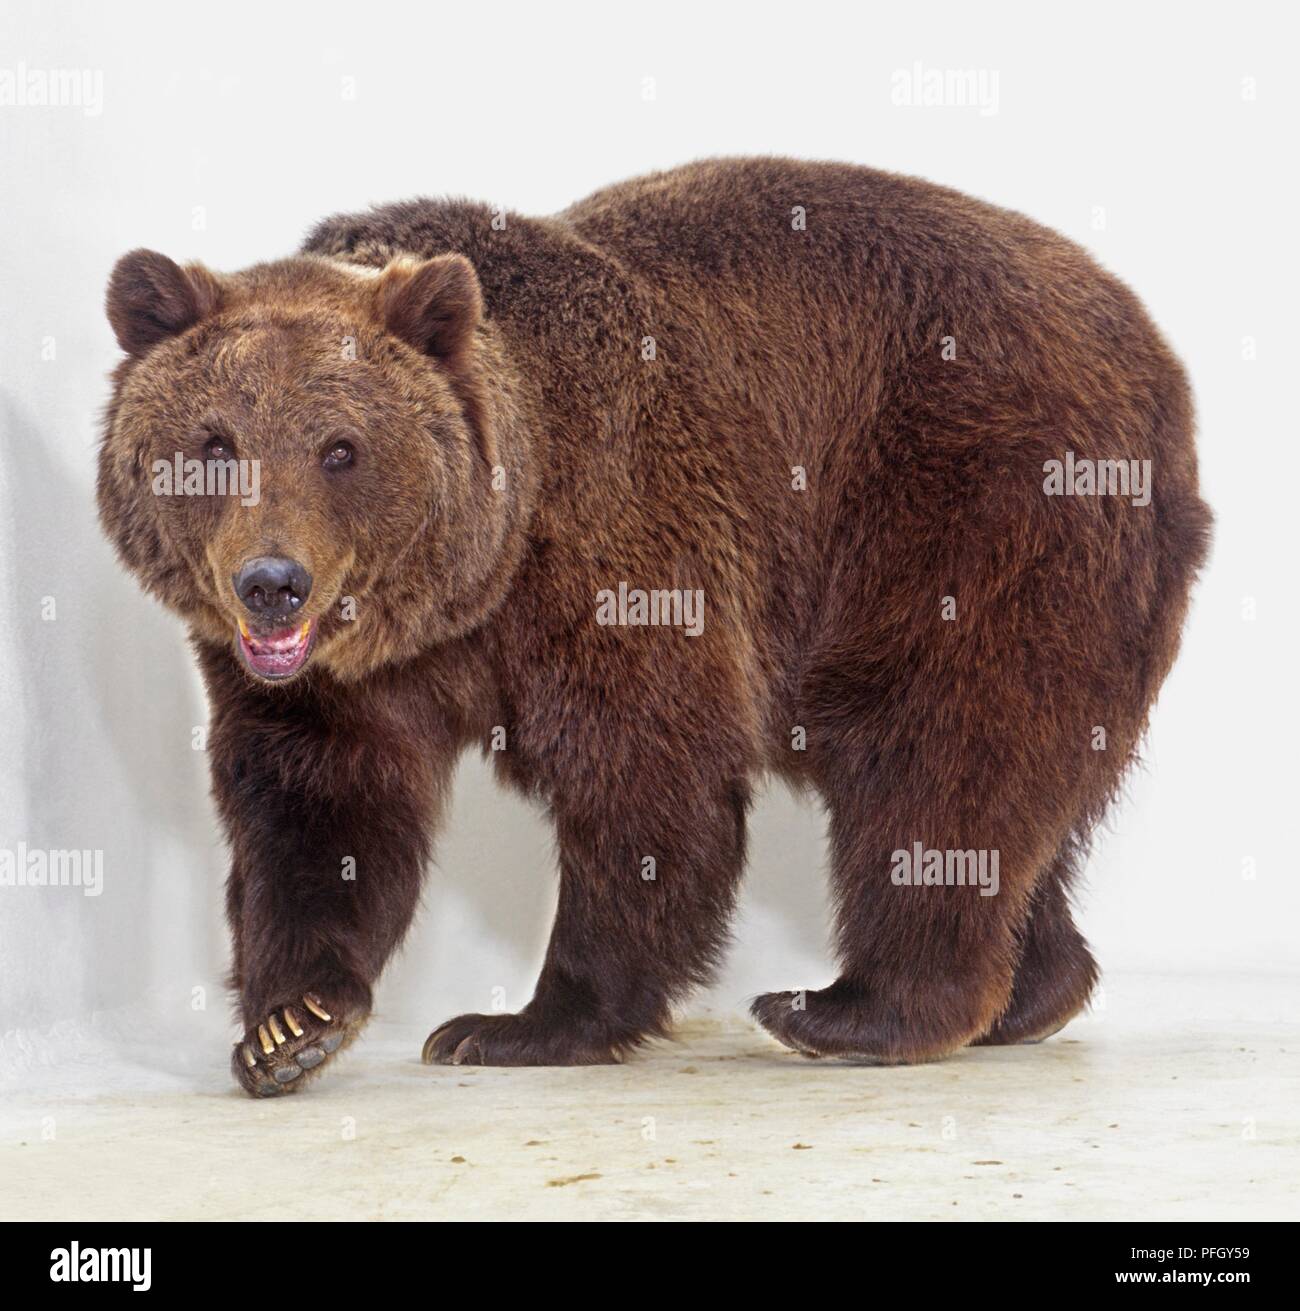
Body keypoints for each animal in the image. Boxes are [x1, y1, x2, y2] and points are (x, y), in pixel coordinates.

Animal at [97, 157, 1211, 1096]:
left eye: (340, 448)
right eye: (214, 442)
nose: (271, 583)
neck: (468, 583)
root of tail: (1156, 355)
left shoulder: (623, 550)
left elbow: (646, 777)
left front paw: (518, 1023)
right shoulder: (344, 680)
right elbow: (317, 801)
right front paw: (292, 1024)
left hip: (976, 509)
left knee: (938, 750)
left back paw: (849, 1009)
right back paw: (1034, 991)